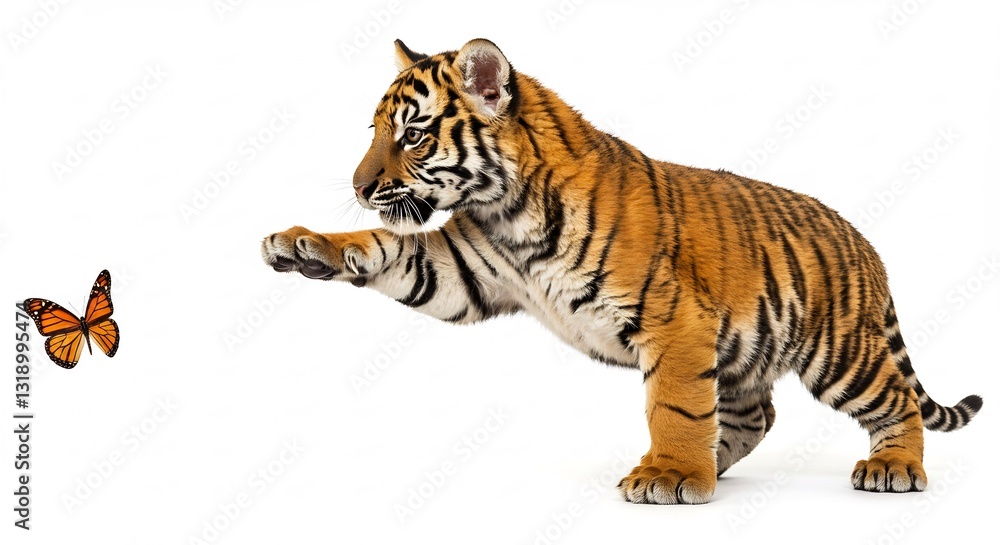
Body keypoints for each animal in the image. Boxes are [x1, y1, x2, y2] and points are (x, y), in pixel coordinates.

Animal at [260, 38, 983, 504]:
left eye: (411, 135)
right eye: (375, 132)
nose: (359, 187)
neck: (503, 209)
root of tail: (862, 239)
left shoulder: (676, 321)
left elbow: (673, 403)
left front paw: (669, 476)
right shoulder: (459, 271)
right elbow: (385, 247)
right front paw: (300, 245)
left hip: (838, 351)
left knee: (895, 400)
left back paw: (891, 468)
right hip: (749, 350)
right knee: (755, 415)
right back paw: (713, 464)